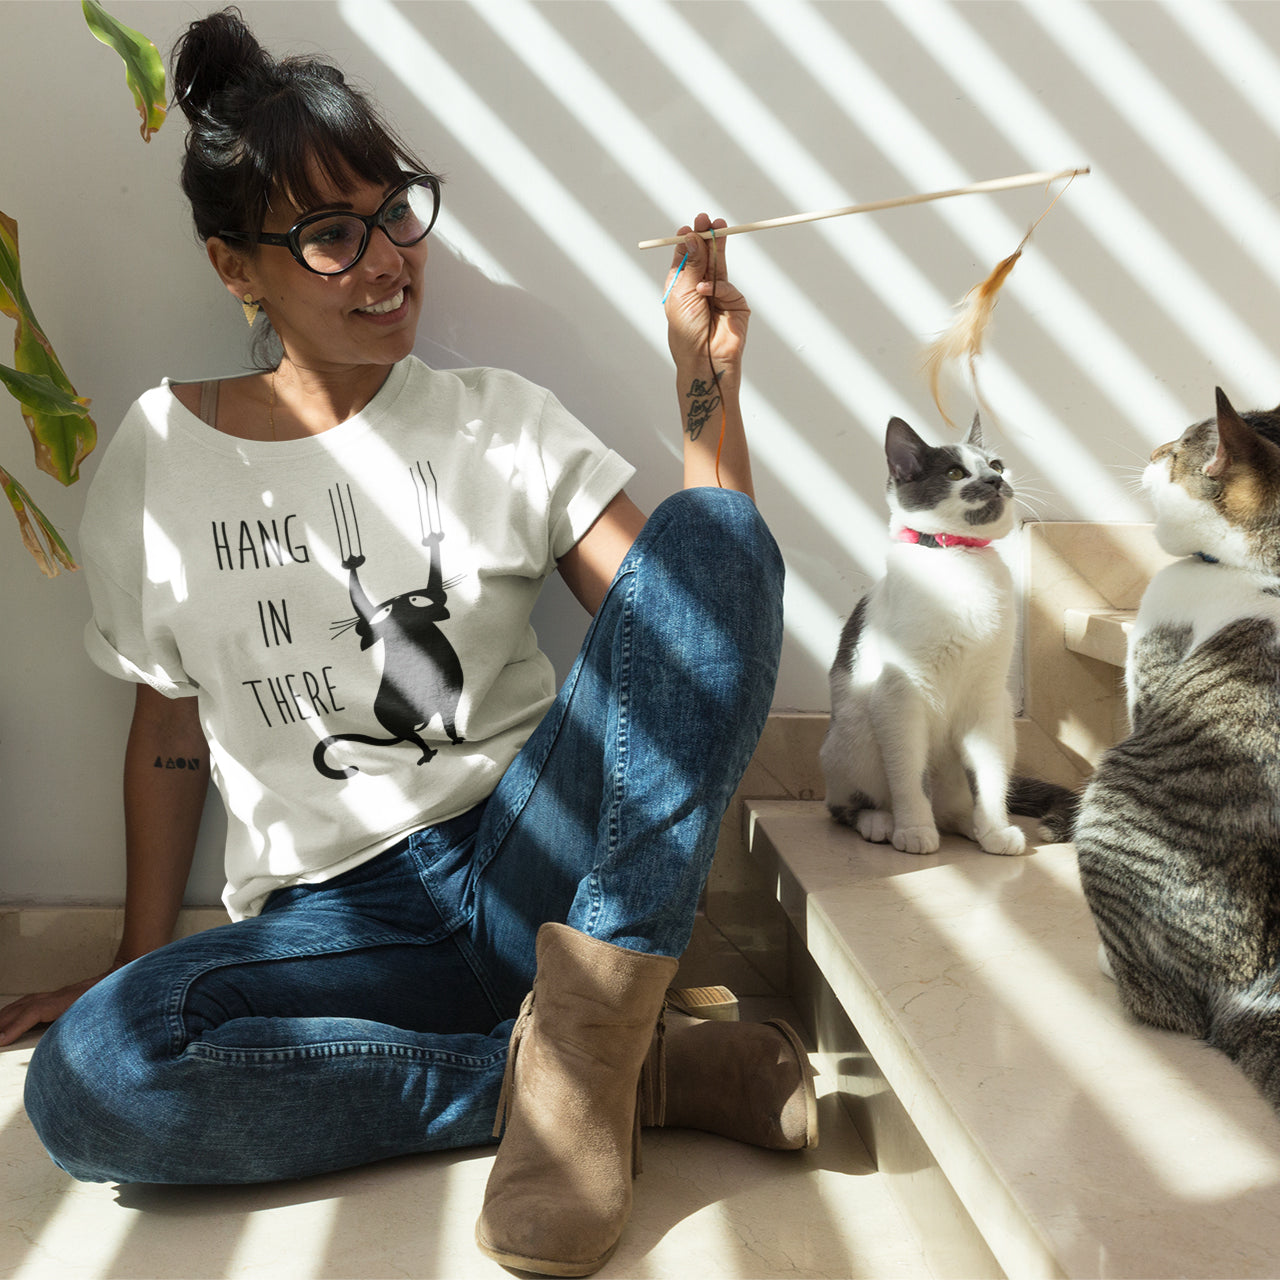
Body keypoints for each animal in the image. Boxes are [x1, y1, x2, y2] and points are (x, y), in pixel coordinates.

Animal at [819, 414, 1029, 855]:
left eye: (997, 465)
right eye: (955, 473)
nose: (994, 481)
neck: (959, 559)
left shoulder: (987, 697)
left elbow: (989, 774)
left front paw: (995, 829)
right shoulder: (900, 694)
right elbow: (908, 774)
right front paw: (914, 830)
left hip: (1005, 722)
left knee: (958, 800)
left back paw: (971, 824)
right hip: (855, 735)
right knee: (845, 804)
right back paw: (881, 822)